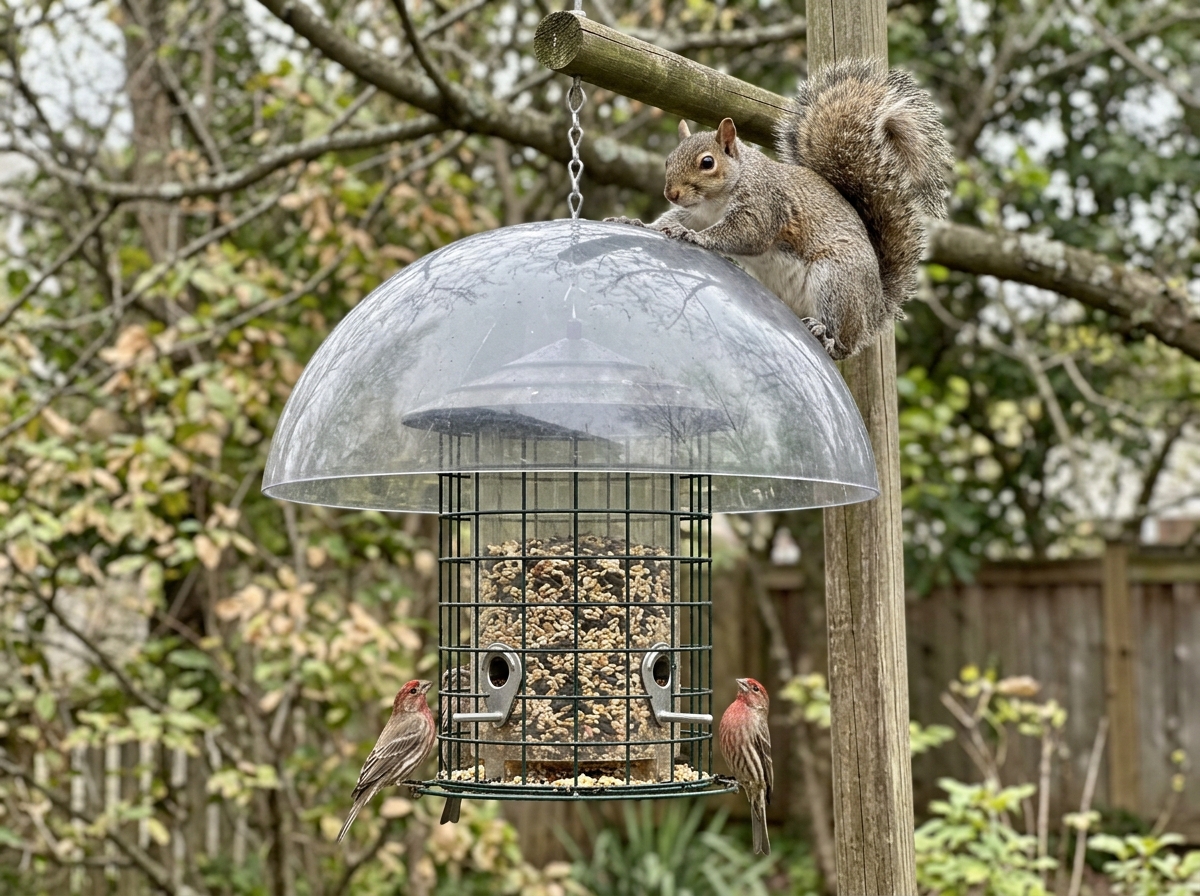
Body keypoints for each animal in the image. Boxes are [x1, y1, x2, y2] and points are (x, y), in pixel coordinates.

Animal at [607, 59, 952, 360]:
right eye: (668, 160)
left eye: (707, 162)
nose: (671, 193)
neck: (715, 201)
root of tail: (877, 307)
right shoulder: (695, 211)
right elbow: (670, 219)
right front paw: (637, 223)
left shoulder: (764, 206)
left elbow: (744, 234)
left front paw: (691, 236)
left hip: (837, 279)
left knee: (844, 344)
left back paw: (826, 335)